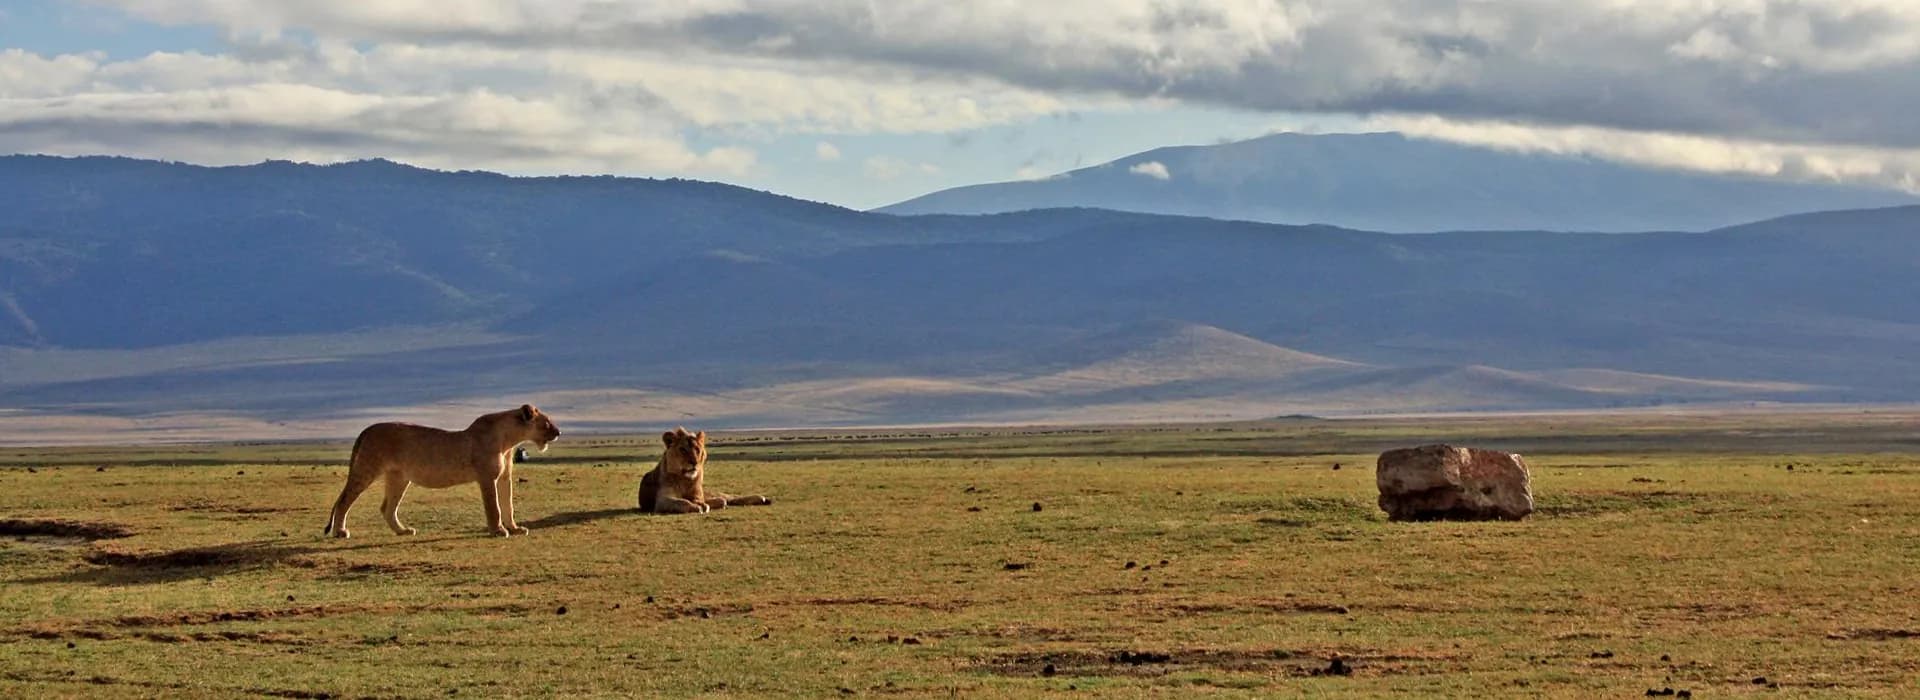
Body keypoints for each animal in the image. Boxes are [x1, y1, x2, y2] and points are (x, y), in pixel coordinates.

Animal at [323, 404, 561, 538]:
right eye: (546, 423)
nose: (559, 432)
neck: (509, 441)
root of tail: (367, 429)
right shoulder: (487, 477)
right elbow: (494, 507)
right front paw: (498, 531)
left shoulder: (504, 477)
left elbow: (508, 505)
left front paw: (515, 528)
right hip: (366, 469)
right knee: (344, 501)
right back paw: (340, 532)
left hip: (399, 477)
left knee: (387, 508)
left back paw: (403, 531)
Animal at [637, 427, 772, 514]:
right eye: (683, 450)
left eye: (697, 449)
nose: (694, 462)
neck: (685, 479)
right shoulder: (662, 501)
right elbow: (682, 502)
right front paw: (697, 507)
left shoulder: (698, 494)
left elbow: (696, 500)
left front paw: (700, 505)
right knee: (724, 500)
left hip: (710, 493)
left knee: (729, 497)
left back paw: (762, 498)